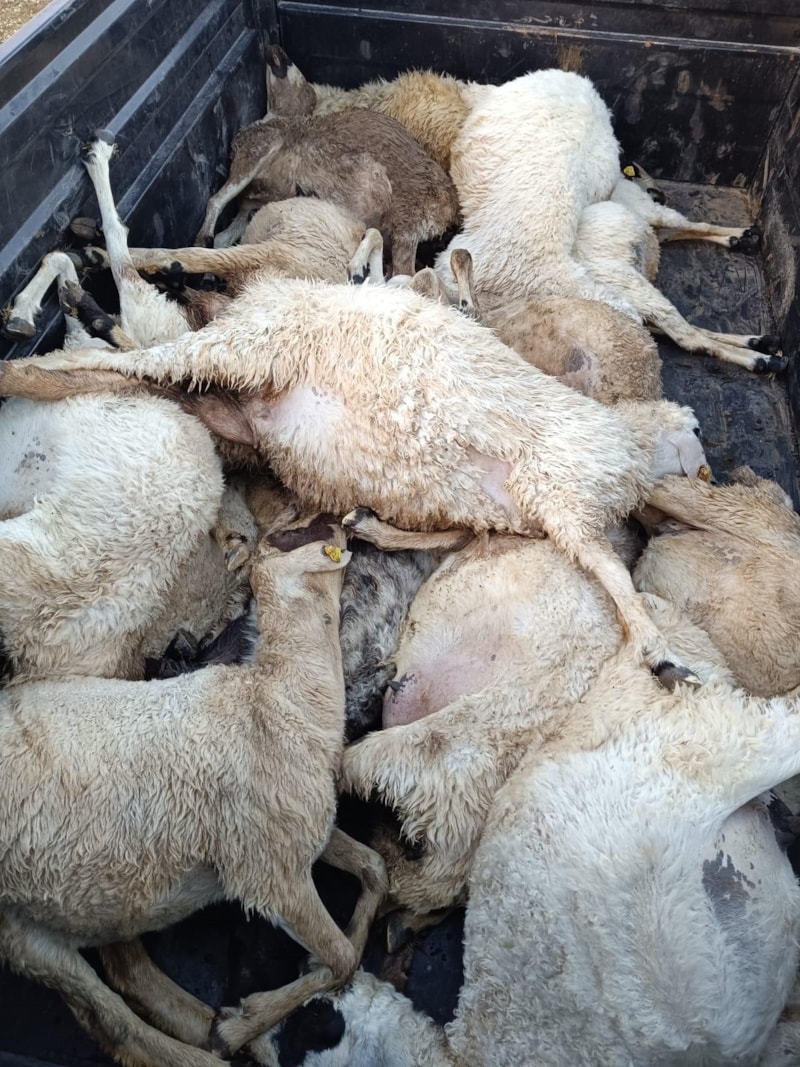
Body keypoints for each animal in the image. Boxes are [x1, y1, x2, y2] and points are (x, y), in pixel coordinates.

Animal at [0, 528, 389, 1065]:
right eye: (302, 534)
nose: (352, 527)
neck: (278, 699)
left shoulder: (298, 826)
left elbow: (376, 869)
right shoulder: (268, 869)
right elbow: (342, 957)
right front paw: (246, 1018)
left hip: (89, 898)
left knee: (126, 973)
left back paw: (211, 1027)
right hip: (23, 927)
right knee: (110, 1019)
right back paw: (216, 1044)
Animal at [194, 109, 459, 274]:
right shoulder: (406, 229)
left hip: (260, 196)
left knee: (226, 234)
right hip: (256, 154)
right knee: (215, 200)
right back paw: (202, 238)